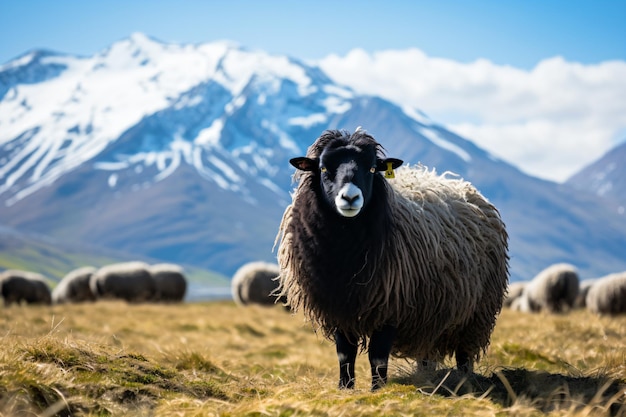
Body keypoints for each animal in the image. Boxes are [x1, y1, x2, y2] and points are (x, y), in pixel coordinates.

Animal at [274, 128, 508, 388]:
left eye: (372, 169)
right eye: (324, 168)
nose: (350, 198)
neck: (343, 253)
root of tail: (463, 186)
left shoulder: (392, 305)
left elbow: (378, 356)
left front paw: (378, 389)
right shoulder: (338, 306)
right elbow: (345, 354)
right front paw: (345, 387)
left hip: (477, 313)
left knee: (464, 354)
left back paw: (464, 382)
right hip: (430, 314)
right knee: (426, 353)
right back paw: (426, 378)